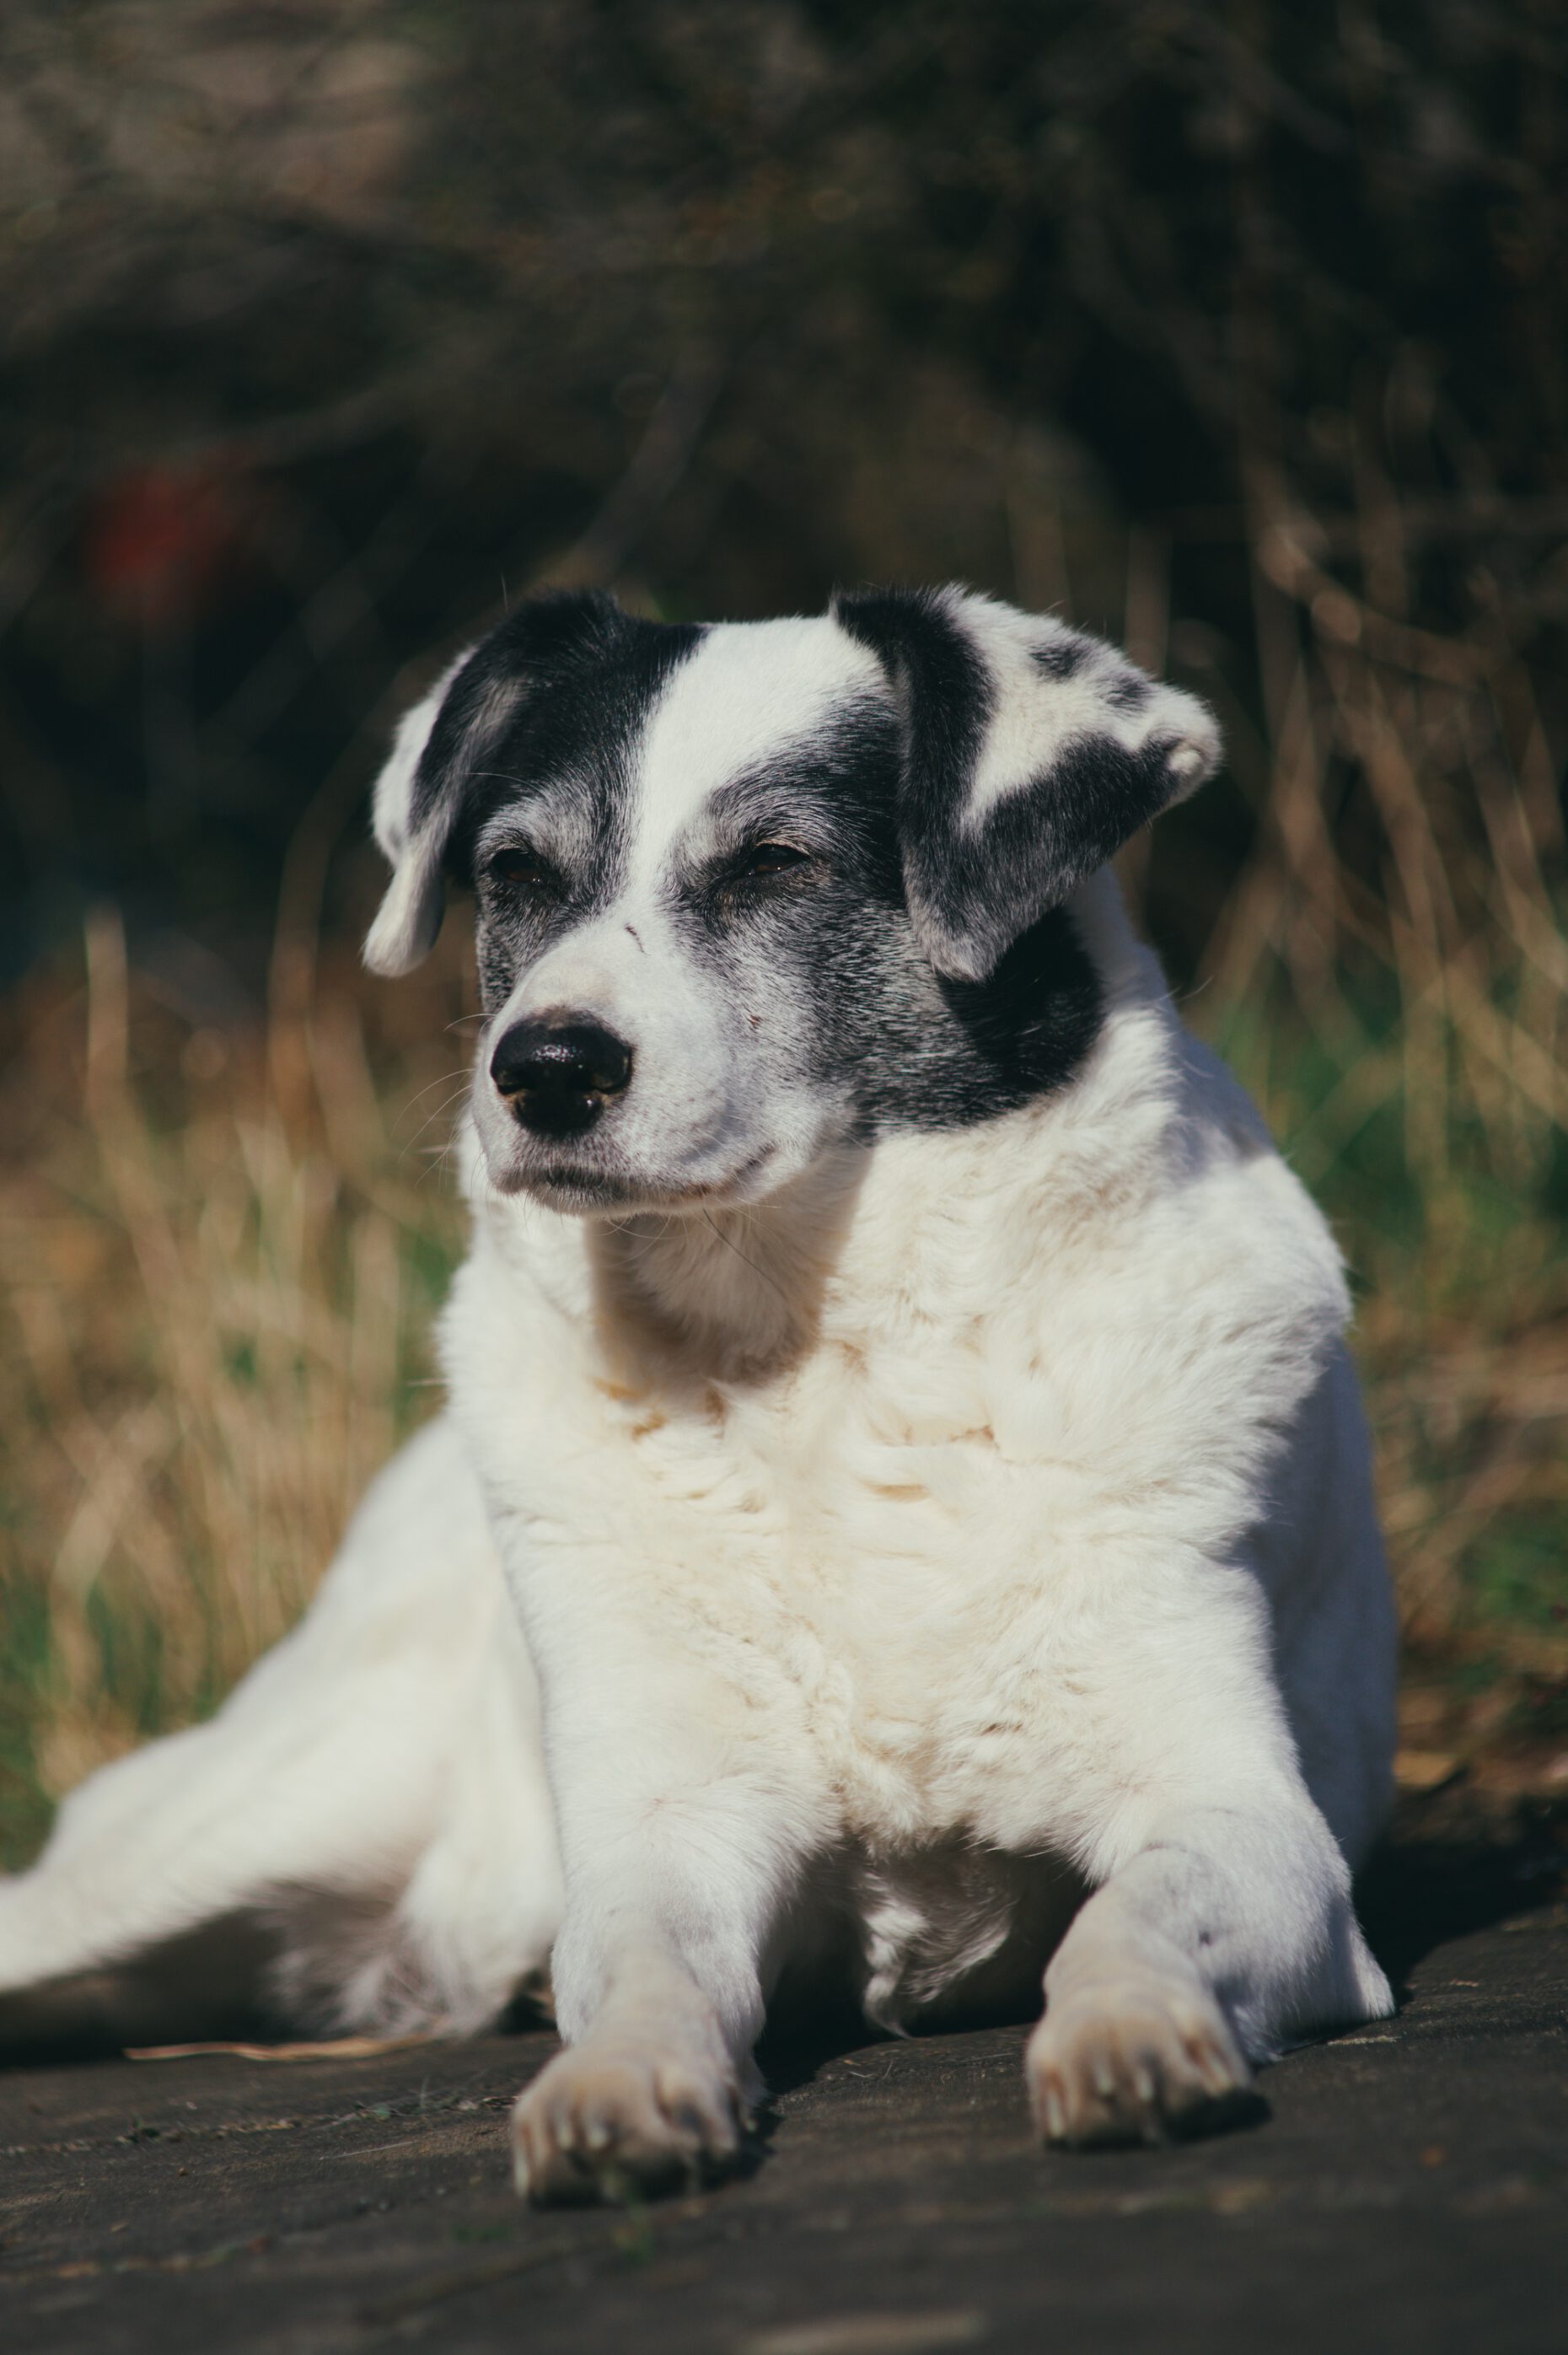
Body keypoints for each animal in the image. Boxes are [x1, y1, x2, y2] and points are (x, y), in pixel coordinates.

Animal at [0, 579, 1393, 2195]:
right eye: (513, 872)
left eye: (775, 865)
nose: (540, 1066)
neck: (825, 1372)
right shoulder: (666, 1829)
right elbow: (646, 1964)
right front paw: (619, 2086)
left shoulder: (1247, 1819)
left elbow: (1128, 1921)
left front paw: (1128, 2034)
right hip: (236, 1829)